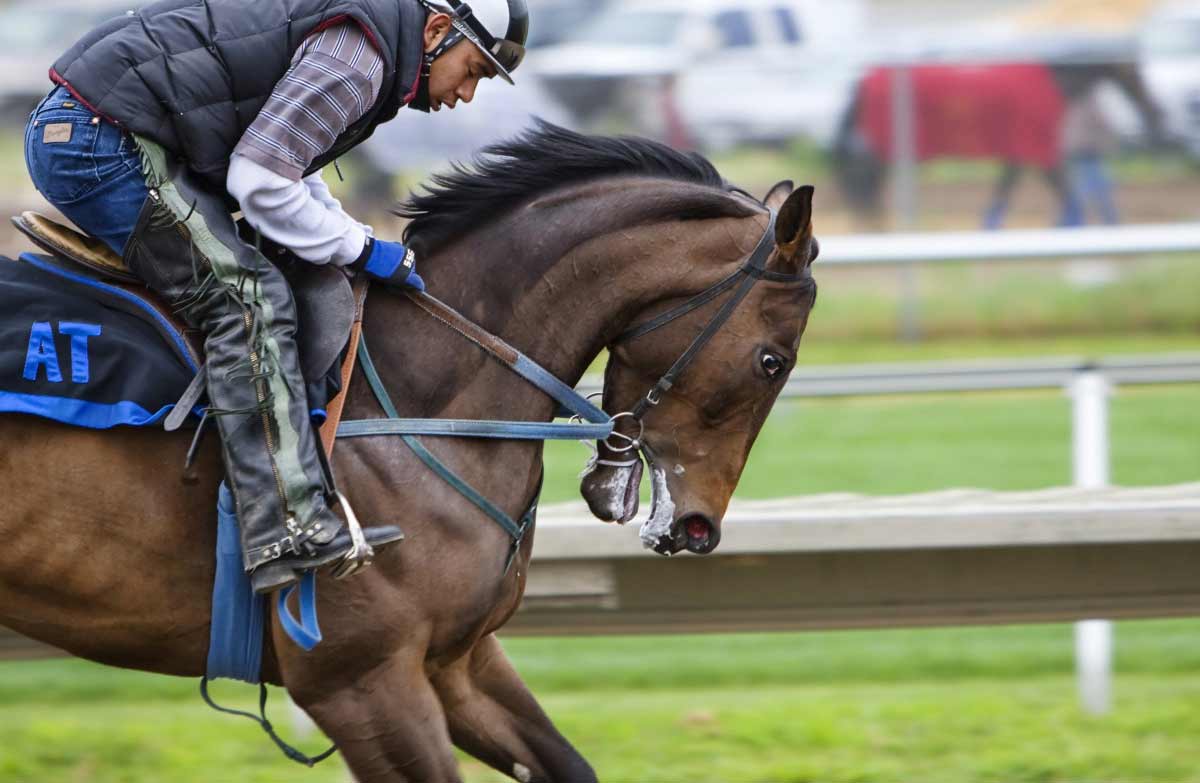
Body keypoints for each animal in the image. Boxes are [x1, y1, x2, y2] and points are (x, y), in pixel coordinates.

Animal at [0, 122, 819, 782]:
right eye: (772, 361)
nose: (698, 528)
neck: (419, 393)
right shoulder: (359, 680)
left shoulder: (456, 660)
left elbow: (568, 763)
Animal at [832, 59, 1166, 229]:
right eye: (1134, 68)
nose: (1155, 114)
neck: (1053, 82)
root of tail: (864, 80)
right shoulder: (1039, 152)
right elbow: (1069, 196)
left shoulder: (1018, 154)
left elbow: (1004, 194)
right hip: (882, 149)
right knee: (862, 181)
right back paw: (871, 225)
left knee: (864, 184)